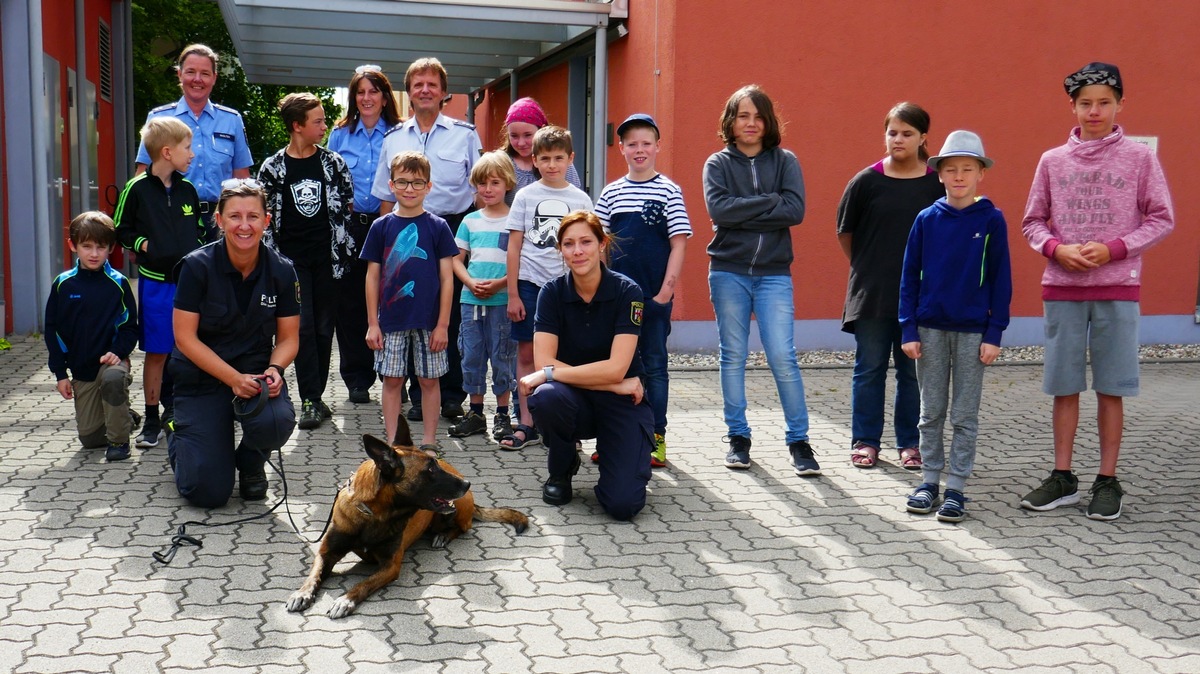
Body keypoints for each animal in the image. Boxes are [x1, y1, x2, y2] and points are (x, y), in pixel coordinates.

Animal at [285, 422, 530, 618]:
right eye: (430, 469)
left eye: (435, 464)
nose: (467, 483)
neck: (374, 514)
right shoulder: (326, 553)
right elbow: (314, 574)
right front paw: (302, 593)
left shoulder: (391, 566)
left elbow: (363, 583)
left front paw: (345, 600)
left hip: (456, 512)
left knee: (464, 527)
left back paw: (443, 536)